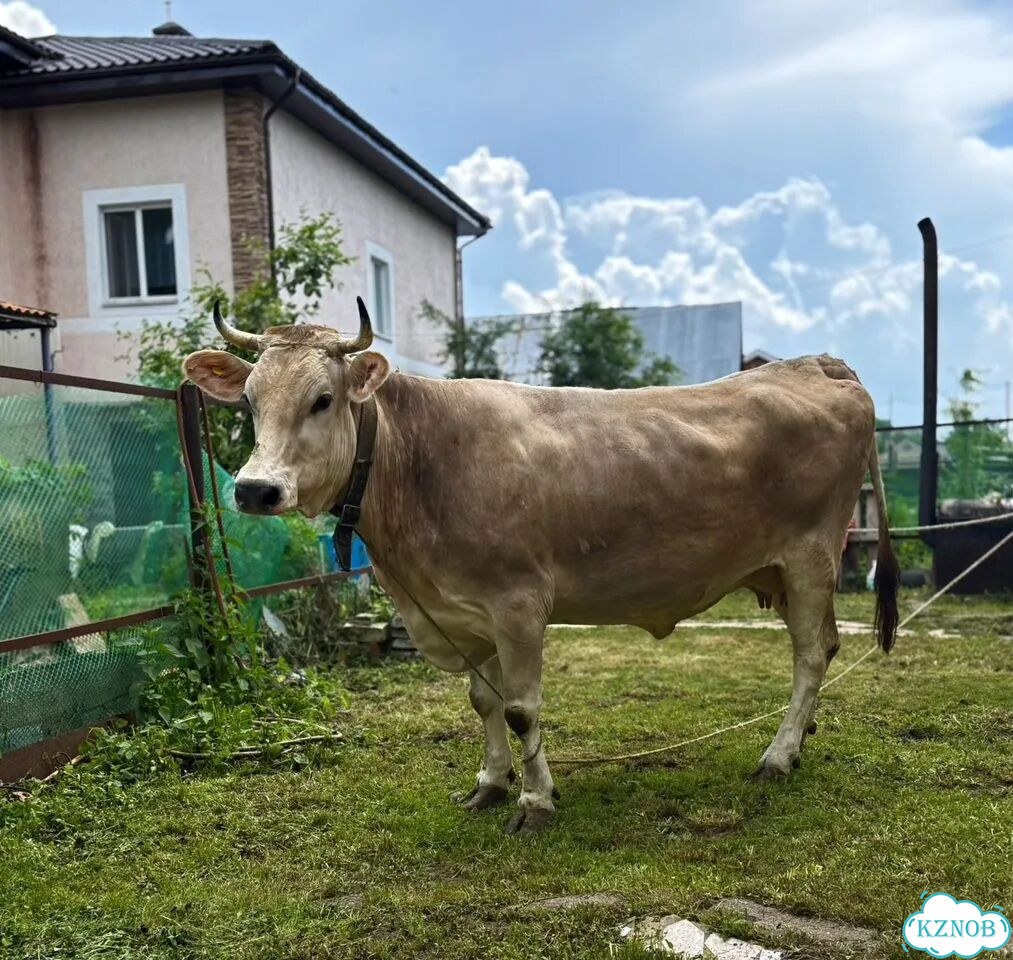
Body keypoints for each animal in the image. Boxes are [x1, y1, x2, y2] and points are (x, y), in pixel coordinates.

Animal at [183, 298, 900, 834]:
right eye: (249, 401)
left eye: (322, 399)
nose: (256, 489)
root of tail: (818, 365)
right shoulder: (461, 612)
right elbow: (484, 701)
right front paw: (490, 784)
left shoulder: (518, 603)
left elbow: (522, 708)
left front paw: (535, 802)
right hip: (785, 571)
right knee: (822, 646)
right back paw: (799, 743)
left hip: (810, 556)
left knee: (812, 652)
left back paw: (777, 756)